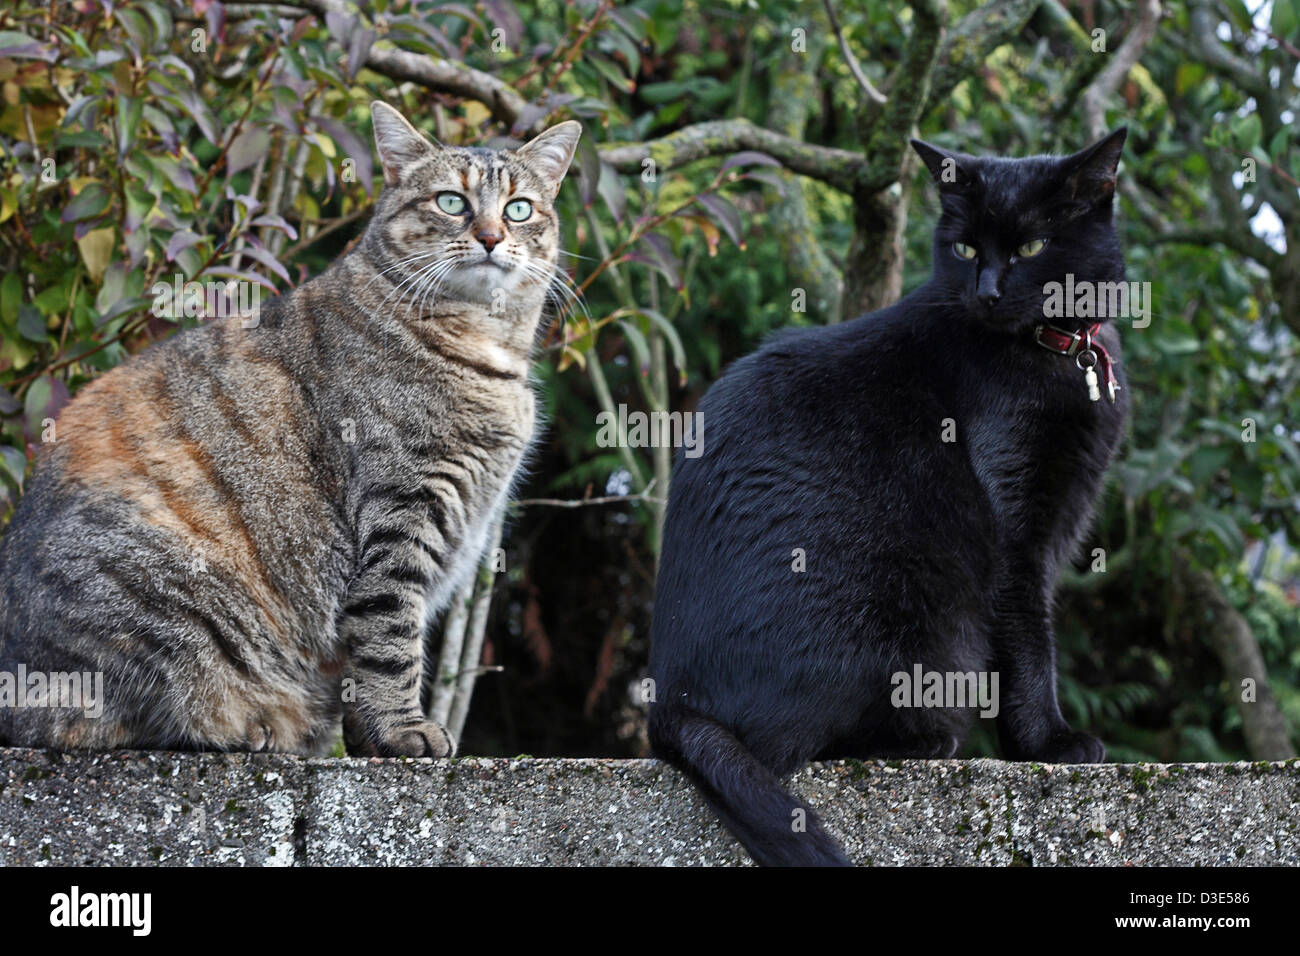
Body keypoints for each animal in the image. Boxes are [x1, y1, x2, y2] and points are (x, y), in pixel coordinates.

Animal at [0, 104, 579, 759]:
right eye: (452, 202)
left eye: (518, 209)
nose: (490, 236)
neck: (484, 348)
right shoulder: (400, 508)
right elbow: (390, 636)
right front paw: (401, 730)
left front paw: (371, 737)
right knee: (112, 719)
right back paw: (248, 727)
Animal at [647, 128, 1128, 868]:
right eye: (965, 249)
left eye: (1031, 248)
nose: (987, 293)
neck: (1054, 354)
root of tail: (671, 706)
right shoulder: (1016, 535)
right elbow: (1029, 646)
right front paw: (1049, 745)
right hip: (902, 624)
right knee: (790, 743)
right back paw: (928, 739)